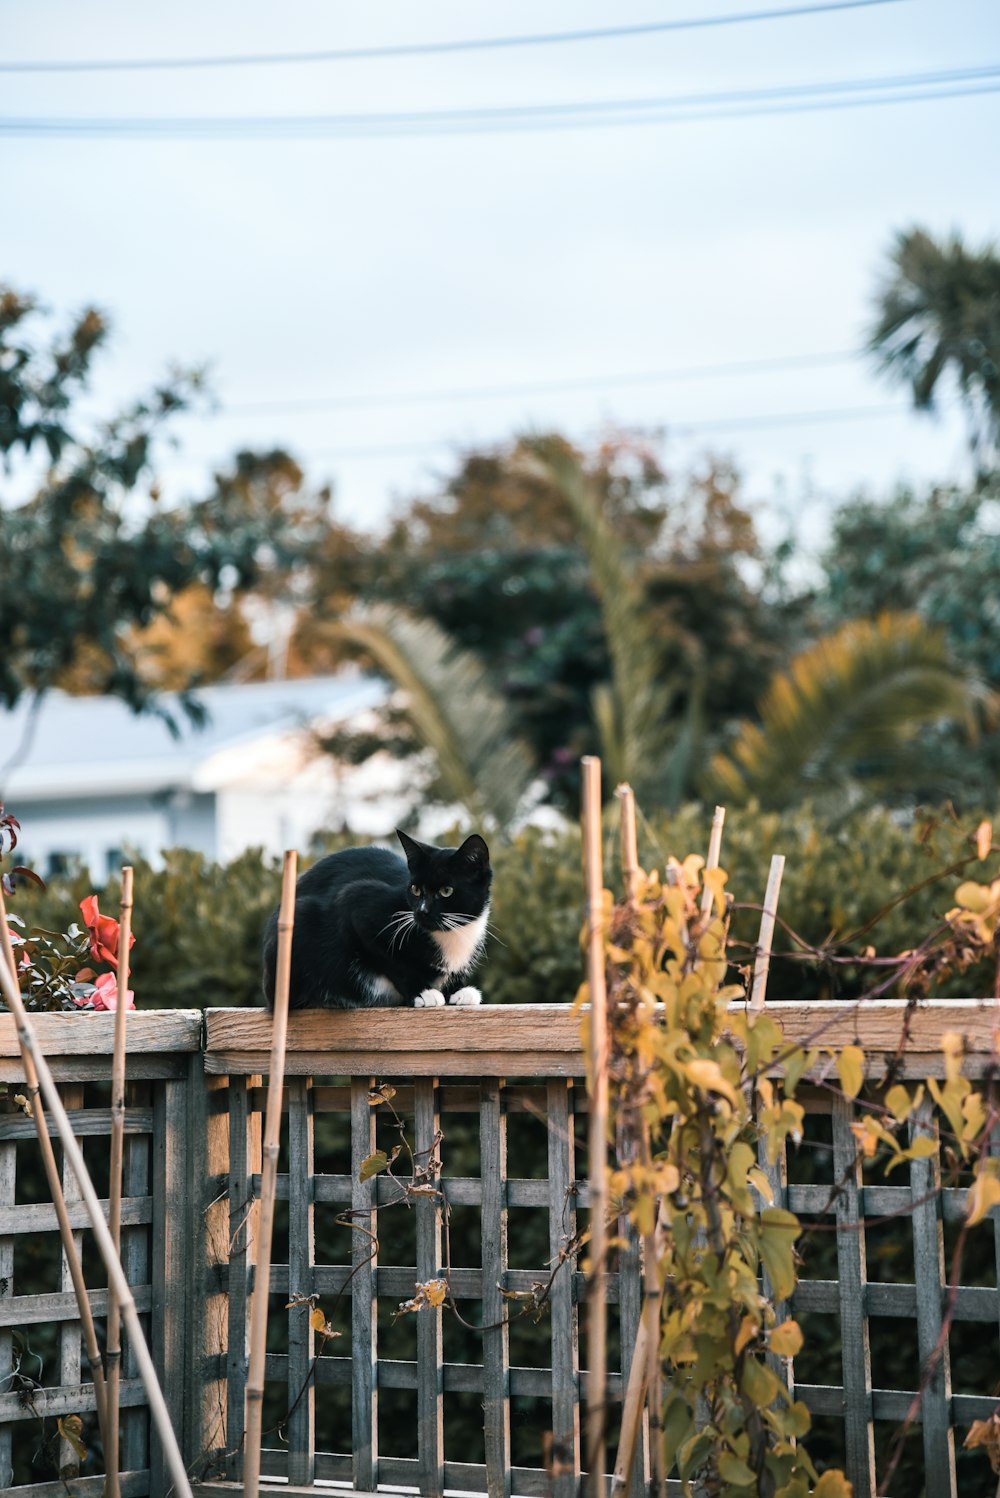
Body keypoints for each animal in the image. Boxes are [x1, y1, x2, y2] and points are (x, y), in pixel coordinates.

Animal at [260, 832, 491, 1006]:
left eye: (446, 891)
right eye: (415, 889)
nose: (422, 912)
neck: (451, 934)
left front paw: (459, 991)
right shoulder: (358, 903)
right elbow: (390, 960)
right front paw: (422, 992)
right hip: (298, 919)